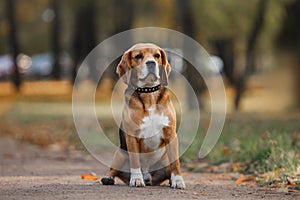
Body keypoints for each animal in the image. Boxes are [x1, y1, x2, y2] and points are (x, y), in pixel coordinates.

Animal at [101, 42, 185, 189]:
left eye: (157, 55)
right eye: (138, 56)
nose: (151, 63)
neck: (148, 92)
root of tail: (148, 176)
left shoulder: (171, 134)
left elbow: (176, 163)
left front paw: (178, 181)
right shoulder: (132, 136)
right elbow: (135, 161)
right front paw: (136, 179)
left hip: (164, 160)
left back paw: (168, 180)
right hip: (120, 153)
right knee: (112, 170)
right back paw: (108, 178)